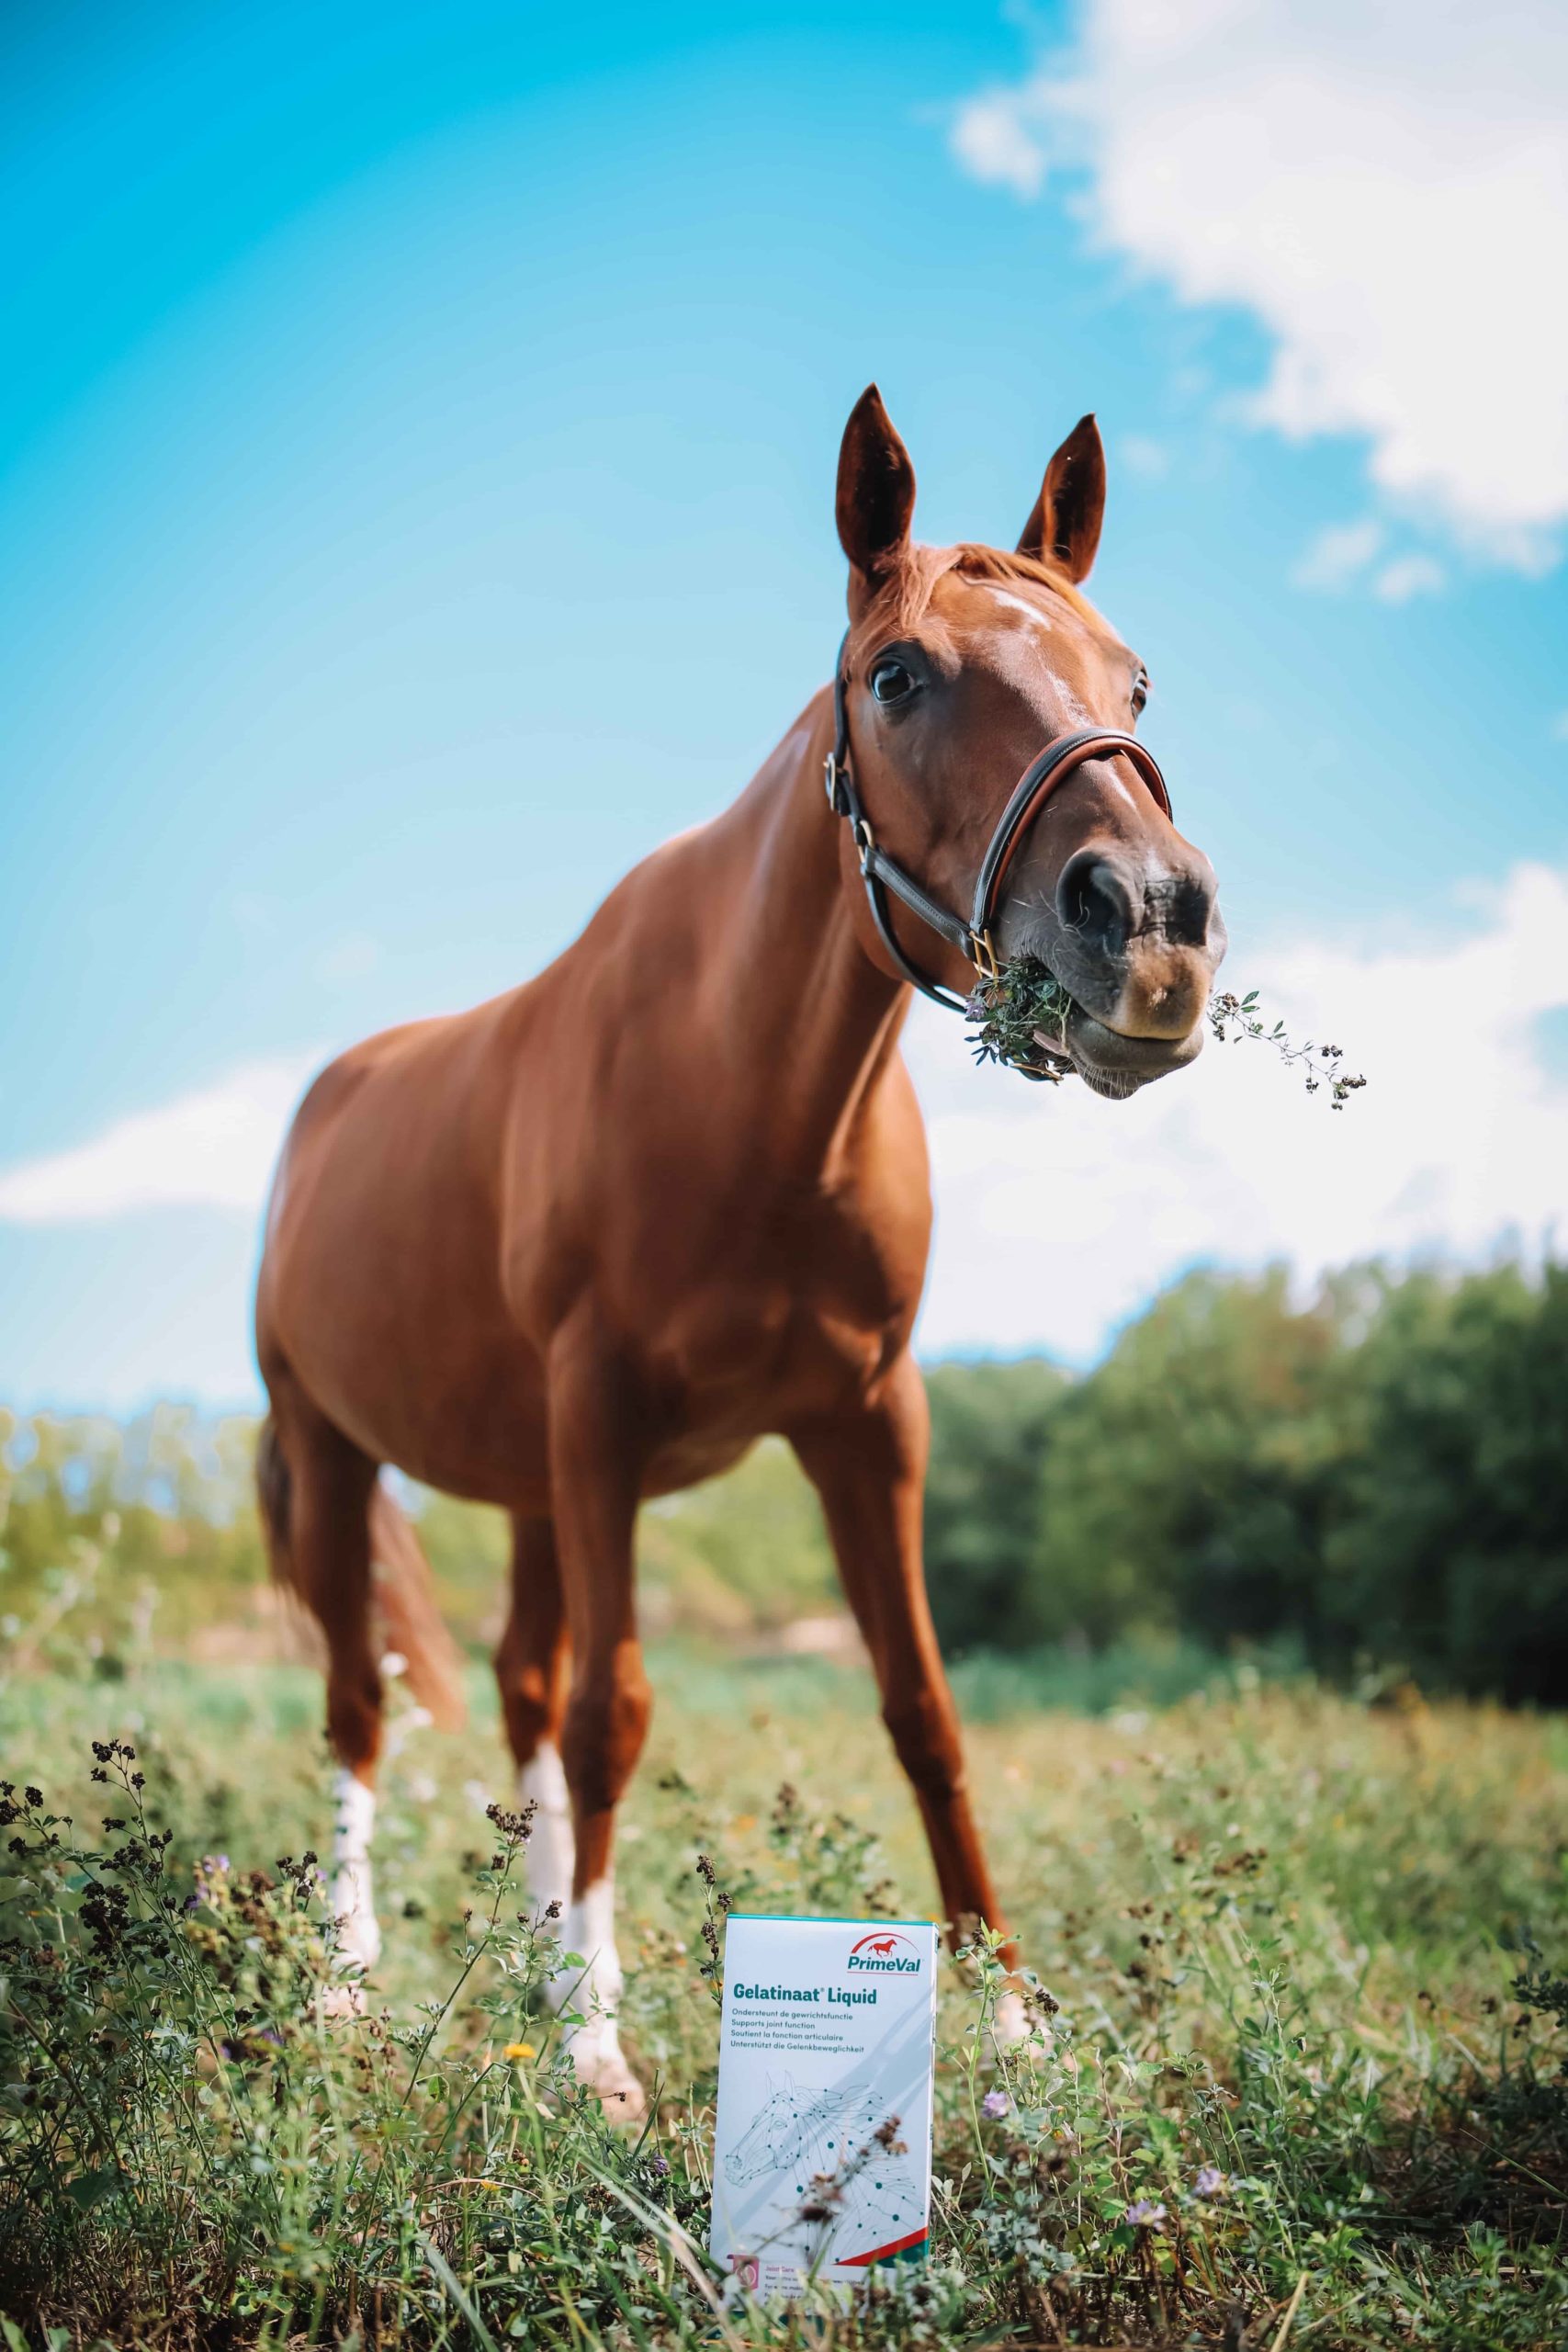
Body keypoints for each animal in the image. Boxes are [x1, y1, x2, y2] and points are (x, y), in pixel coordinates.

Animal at [254, 386, 1225, 2116]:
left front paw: (1012, 2024)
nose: (1152, 925)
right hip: (341, 1456)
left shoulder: (865, 1421)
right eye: (898, 676)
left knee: (513, 1682)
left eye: (1131, 680)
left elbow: (921, 1710)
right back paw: (351, 1985)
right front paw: (595, 2052)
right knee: (364, 1710)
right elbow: (614, 1713)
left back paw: (523, 1952)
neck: (743, 1088)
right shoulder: (601, 1421)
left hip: (528, 1487)